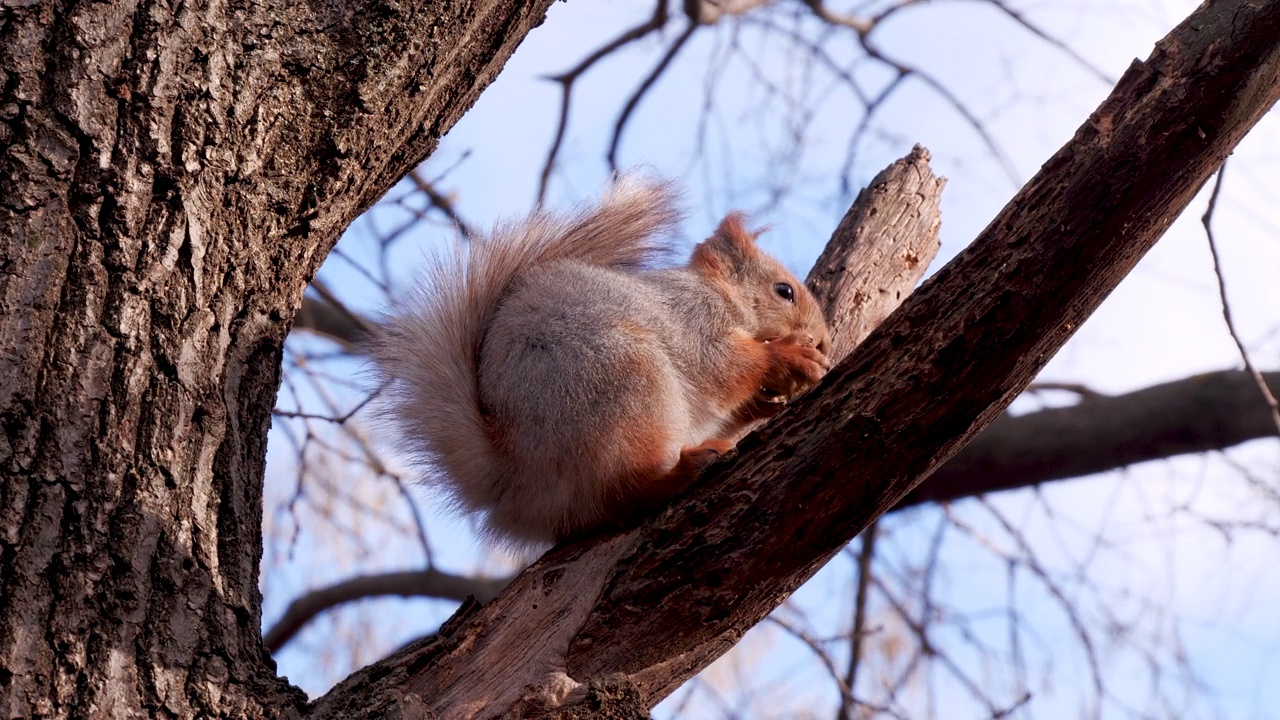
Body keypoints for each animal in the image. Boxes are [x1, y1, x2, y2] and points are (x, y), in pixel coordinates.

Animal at [373, 175, 829, 543]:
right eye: (784, 291)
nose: (825, 343)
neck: (721, 297)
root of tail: (517, 475)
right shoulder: (693, 321)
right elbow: (721, 365)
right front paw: (789, 356)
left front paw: (765, 403)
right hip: (626, 385)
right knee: (623, 492)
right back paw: (680, 473)